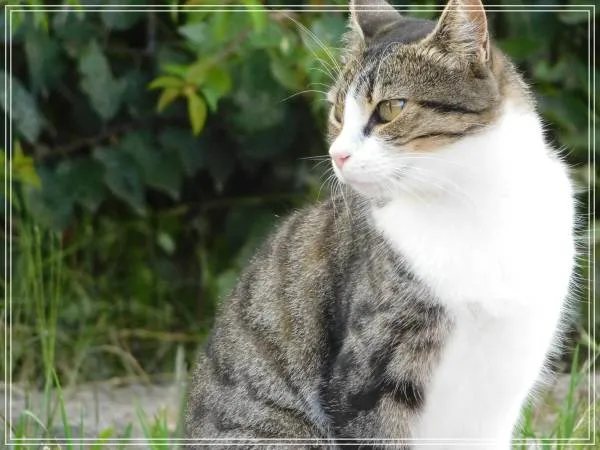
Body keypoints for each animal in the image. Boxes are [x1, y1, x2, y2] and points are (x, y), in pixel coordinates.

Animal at [185, 0, 576, 448]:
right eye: (338, 112)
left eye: (391, 108)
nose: (338, 155)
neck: (475, 206)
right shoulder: (368, 379)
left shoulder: (508, 374)